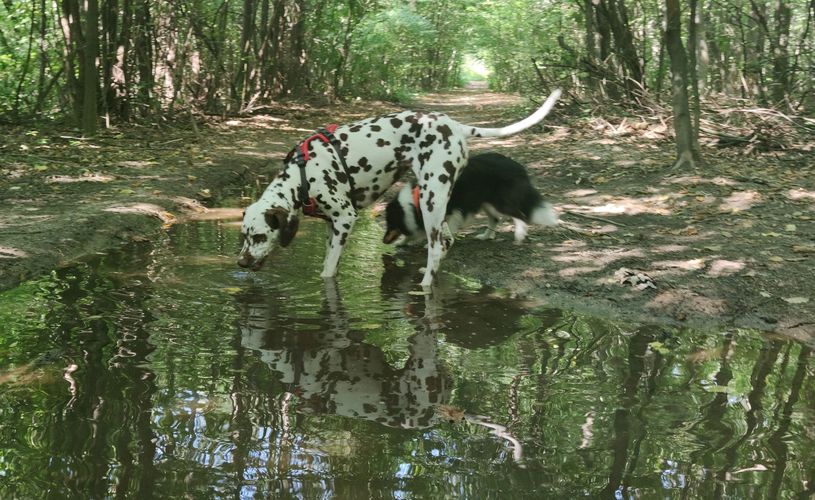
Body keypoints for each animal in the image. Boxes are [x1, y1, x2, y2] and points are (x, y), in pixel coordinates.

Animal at [386, 153, 556, 245]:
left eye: (390, 222)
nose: (383, 241)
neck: (413, 202)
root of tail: (519, 168)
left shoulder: (451, 212)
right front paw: (402, 242)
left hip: (500, 202)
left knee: (519, 215)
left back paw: (519, 235)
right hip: (487, 202)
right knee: (495, 219)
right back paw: (486, 236)